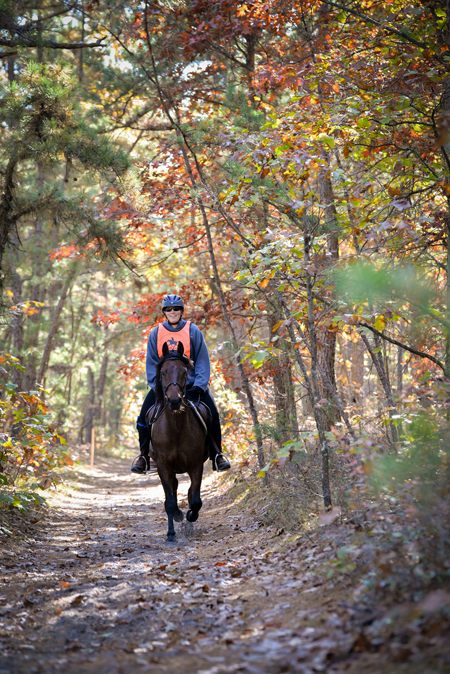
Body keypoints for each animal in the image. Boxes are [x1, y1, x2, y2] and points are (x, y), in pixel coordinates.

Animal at [149, 338, 210, 540]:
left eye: (184, 372)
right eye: (163, 372)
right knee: (173, 489)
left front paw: (191, 515)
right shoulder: (163, 465)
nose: (174, 401)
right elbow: (169, 501)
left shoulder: (196, 464)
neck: (176, 428)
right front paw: (171, 533)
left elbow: (196, 499)